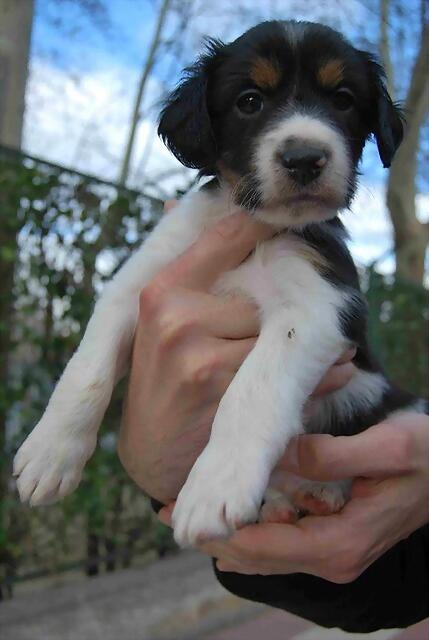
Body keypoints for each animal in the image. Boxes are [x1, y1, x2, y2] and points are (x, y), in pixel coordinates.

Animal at [13, 22, 424, 548]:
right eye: (250, 101)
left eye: (343, 100)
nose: (304, 158)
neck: (253, 222)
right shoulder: (137, 285)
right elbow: (86, 369)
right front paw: (49, 453)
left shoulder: (317, 306)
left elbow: (250, 392)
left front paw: (214, 488)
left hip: (394, 403)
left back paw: (322, 488)